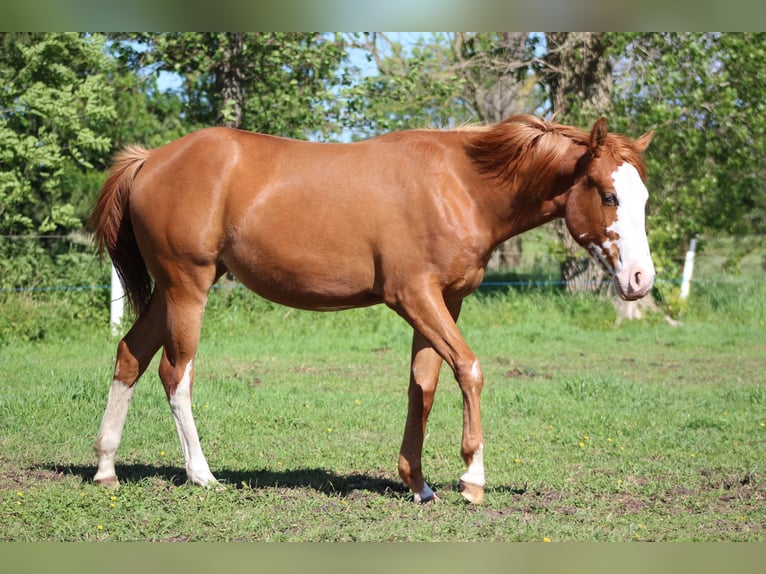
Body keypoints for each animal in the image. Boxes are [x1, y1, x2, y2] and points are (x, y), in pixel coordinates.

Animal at [90, 115, 654, 504]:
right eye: (608, 195)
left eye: (644, 198)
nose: (641, 280)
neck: (460, 186)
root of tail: (151, 159)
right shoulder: (415, 297)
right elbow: (468, 370)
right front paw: (472, 478)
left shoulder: (445, 301)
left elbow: (423, 385)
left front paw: (418, 483)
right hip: (188, 287)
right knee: (175, 373)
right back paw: (202, 475)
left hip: (167, 292)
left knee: (130, 356)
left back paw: (106, 467)